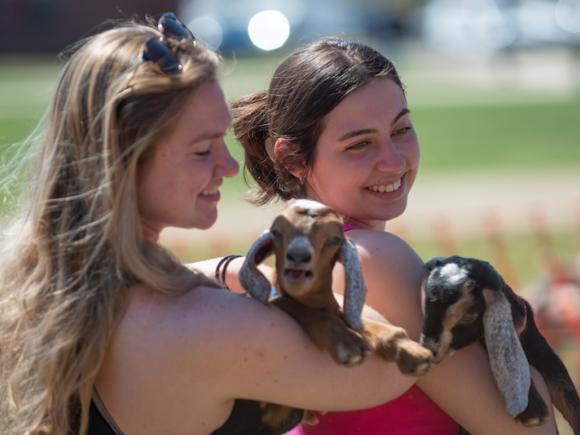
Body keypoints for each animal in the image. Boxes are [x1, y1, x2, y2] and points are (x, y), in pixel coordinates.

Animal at [233, 201, 432, 435]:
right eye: (276, 232)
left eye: (334, 239)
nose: (298, 256)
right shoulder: (271, 406)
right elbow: (294, 306)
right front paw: (348, 343)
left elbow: (368, 325)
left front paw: (413, 352)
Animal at [422, 255, 580, 435]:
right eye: (426, 305)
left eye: (469, 316)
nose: (429, 347)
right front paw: (533, 412)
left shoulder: (543, 353)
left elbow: (567, 391)